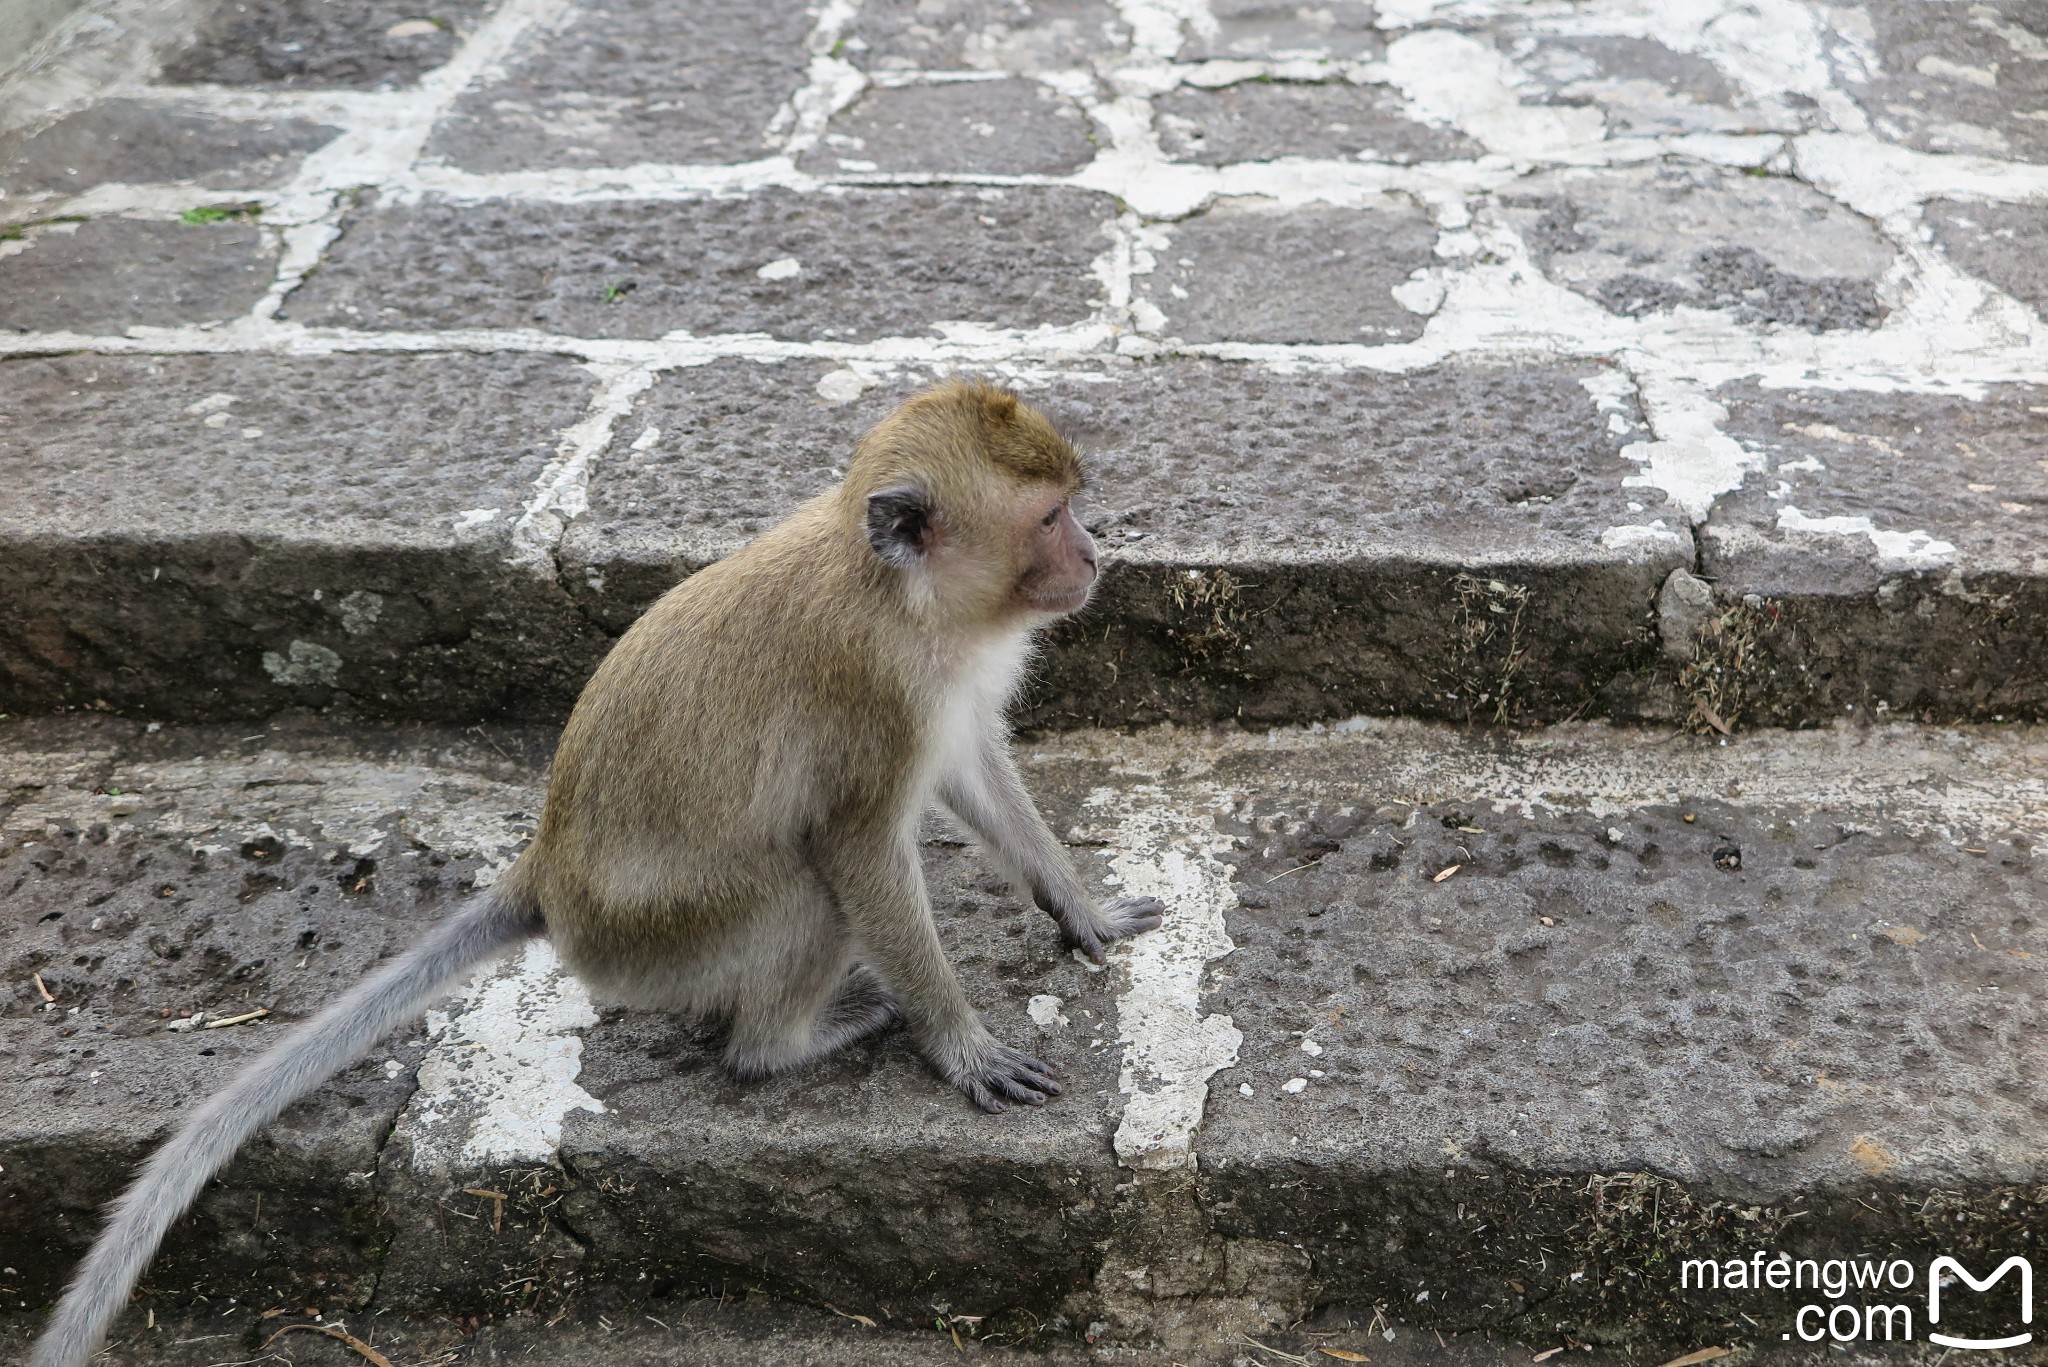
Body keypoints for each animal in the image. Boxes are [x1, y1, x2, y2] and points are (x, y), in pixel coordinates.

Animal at [32, 377, 1163, 1367]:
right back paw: (785, 1043)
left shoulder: (950, 685)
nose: (1094, 551)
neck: (909, 596)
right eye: (1049, 515)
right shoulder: (875, 693)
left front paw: (1081, 907)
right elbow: (856, 849)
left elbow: (975, 774)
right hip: (661, 937)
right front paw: (959, 1043)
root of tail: (546, 870)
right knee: (806, 888)